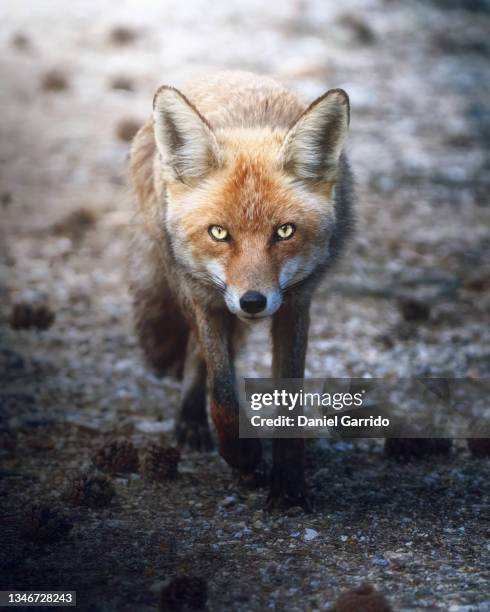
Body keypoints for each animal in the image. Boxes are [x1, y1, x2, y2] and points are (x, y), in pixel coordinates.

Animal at [129, 71, 352, 510]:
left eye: (284, 232)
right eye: (219, 233)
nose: (252, 302)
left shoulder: (296, 304)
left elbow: (290, 402)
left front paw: (288, 487)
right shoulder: (205, 298)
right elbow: (223, 394)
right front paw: (244, 457)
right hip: (186, 284)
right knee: (200, 355)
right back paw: (193, 422)